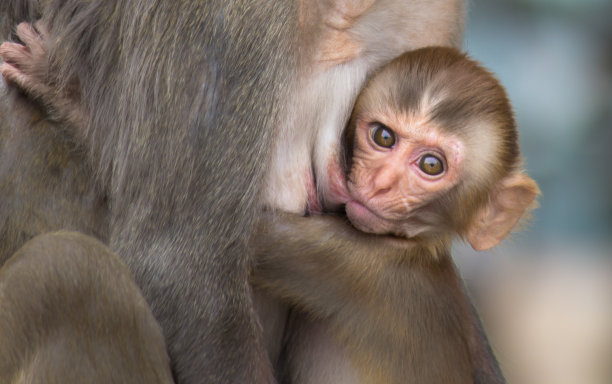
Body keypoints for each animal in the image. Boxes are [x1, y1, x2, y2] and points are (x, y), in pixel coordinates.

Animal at [1, 24, 536, 384]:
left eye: (430, 165)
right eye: (383, 136)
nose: (380, 183)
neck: (414, 246)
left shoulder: (345, 259)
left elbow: (206, 237)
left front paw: (64, 96)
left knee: (70, 268)